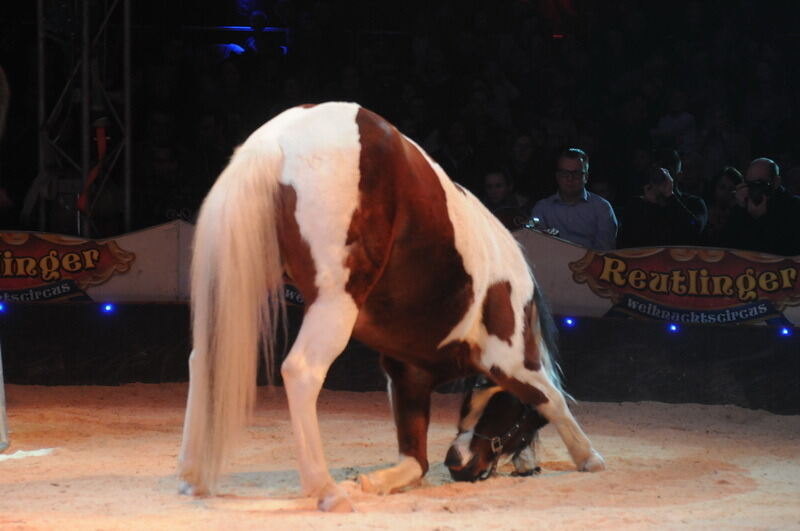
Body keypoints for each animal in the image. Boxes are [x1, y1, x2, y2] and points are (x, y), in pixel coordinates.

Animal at [178, 102, 604, 512]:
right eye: (506, 413)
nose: (459, 464)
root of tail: (277, 138)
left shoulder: (407, 373)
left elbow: (415, 461)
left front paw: (374, 482)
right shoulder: (509, 358)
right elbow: (552, 398)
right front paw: (590, 458)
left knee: (203, 361)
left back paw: (192, 475)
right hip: (335, 304)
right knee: (301, 371)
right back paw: (326, 491)